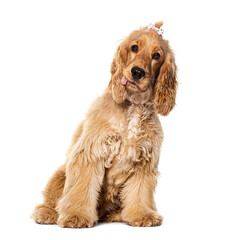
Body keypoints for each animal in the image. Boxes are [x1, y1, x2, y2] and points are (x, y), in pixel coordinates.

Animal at [32, 21, 177, 228]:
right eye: (134, 47)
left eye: (156, 55)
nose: (137, 72)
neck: (133, 106)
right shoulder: (90, 153)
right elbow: (80, 188)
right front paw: (76, 215)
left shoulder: (144, 162)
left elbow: (140, 192)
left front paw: (142, 215)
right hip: (61, 173)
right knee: (52, 199)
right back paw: (47, 213)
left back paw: (118, 215)